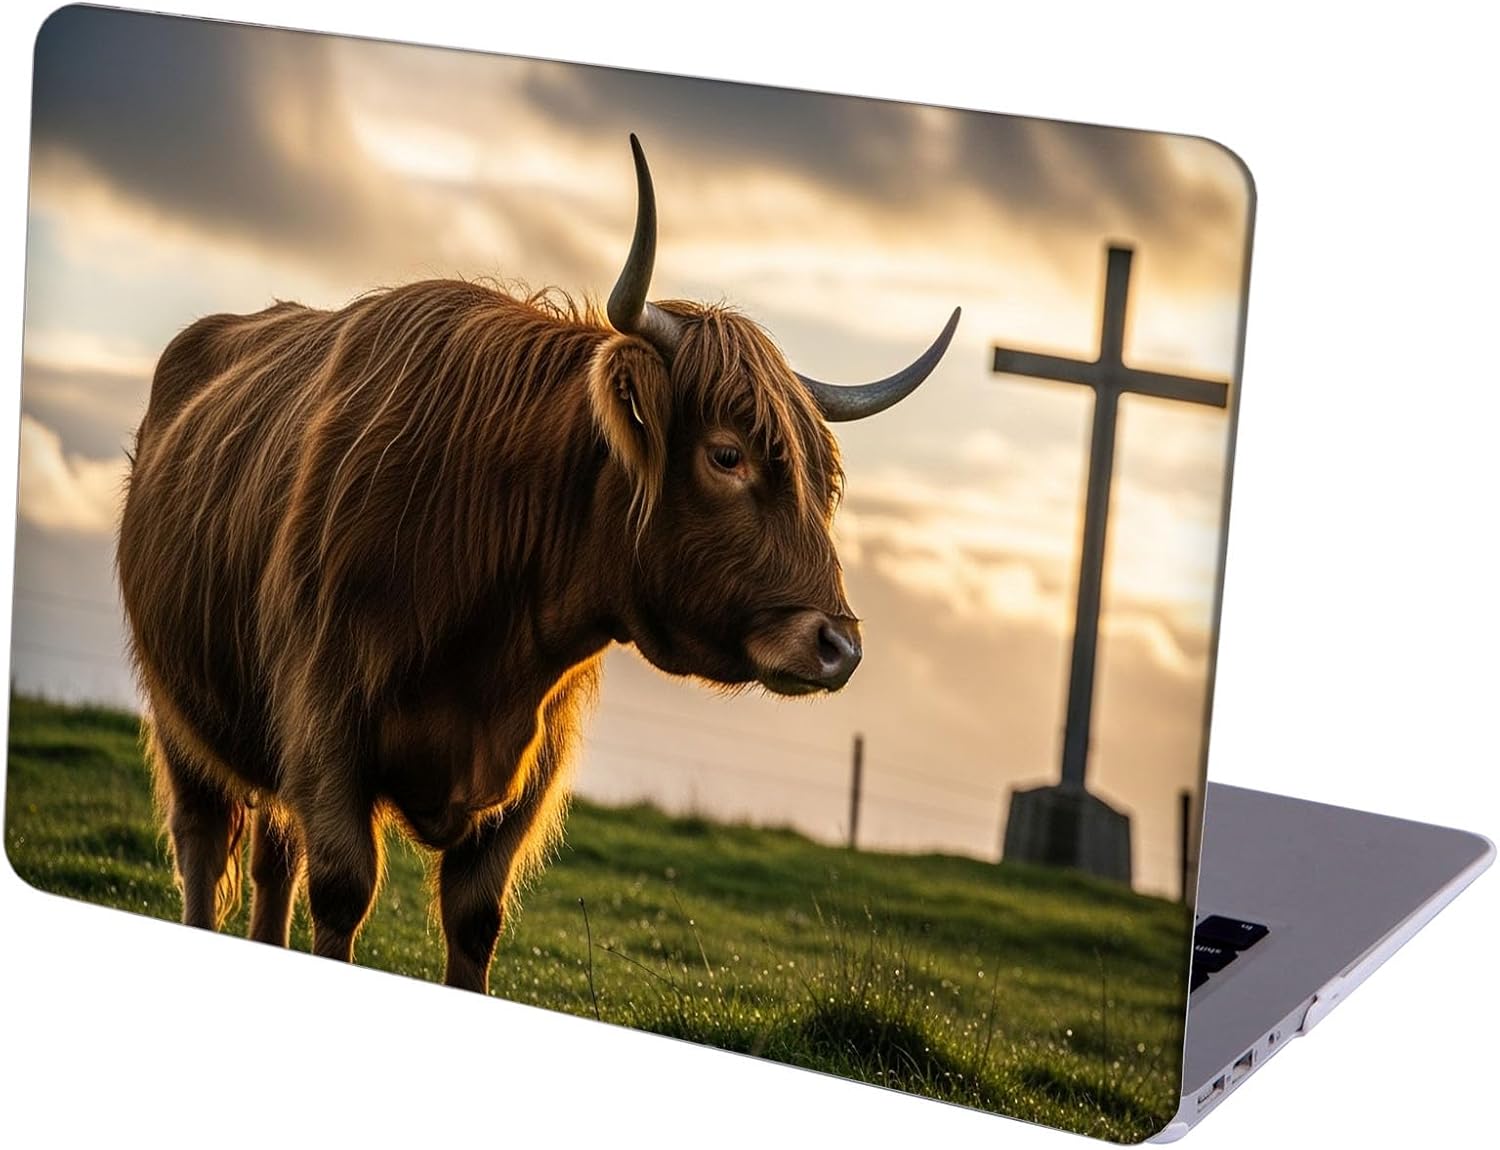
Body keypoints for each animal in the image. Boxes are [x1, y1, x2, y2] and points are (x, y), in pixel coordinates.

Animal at [116, 135, 960, 992]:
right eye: (728, 456)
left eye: (826, 482)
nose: (839, 646)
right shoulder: (326, 729)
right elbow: (344, 893)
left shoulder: (528, 770)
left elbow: (475, 920)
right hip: (181, 709)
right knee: (202, 844)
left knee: (271, 863)